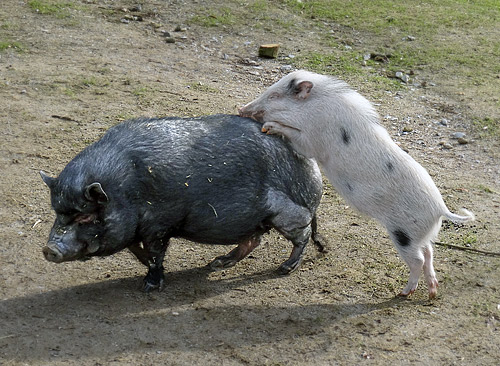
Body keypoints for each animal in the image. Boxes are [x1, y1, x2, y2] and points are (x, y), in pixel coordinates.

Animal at [40, 114, 324, 292]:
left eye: (85, 216)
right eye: (58, 213)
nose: (49, 249)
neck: (125, 192)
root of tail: (313, 172)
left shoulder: (159, 224)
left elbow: (155, 254)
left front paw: (150, 288)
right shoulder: (135, 229)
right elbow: (137, 251)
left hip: (288, 214)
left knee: (302, 237)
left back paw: (284, 269)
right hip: (254, 219)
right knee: (253, 240)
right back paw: (217, 263)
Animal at [240, 70, 474, 298]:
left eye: (274, 96)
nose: (242, 109)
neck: (313, 108)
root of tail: (440, 208)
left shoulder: (312, 141)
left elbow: (298, 140)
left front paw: (270, 127)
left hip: (404, 233)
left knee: (418, 259)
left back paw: (403, 293)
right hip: (420, 234)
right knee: (429, 252)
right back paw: (432, 292)